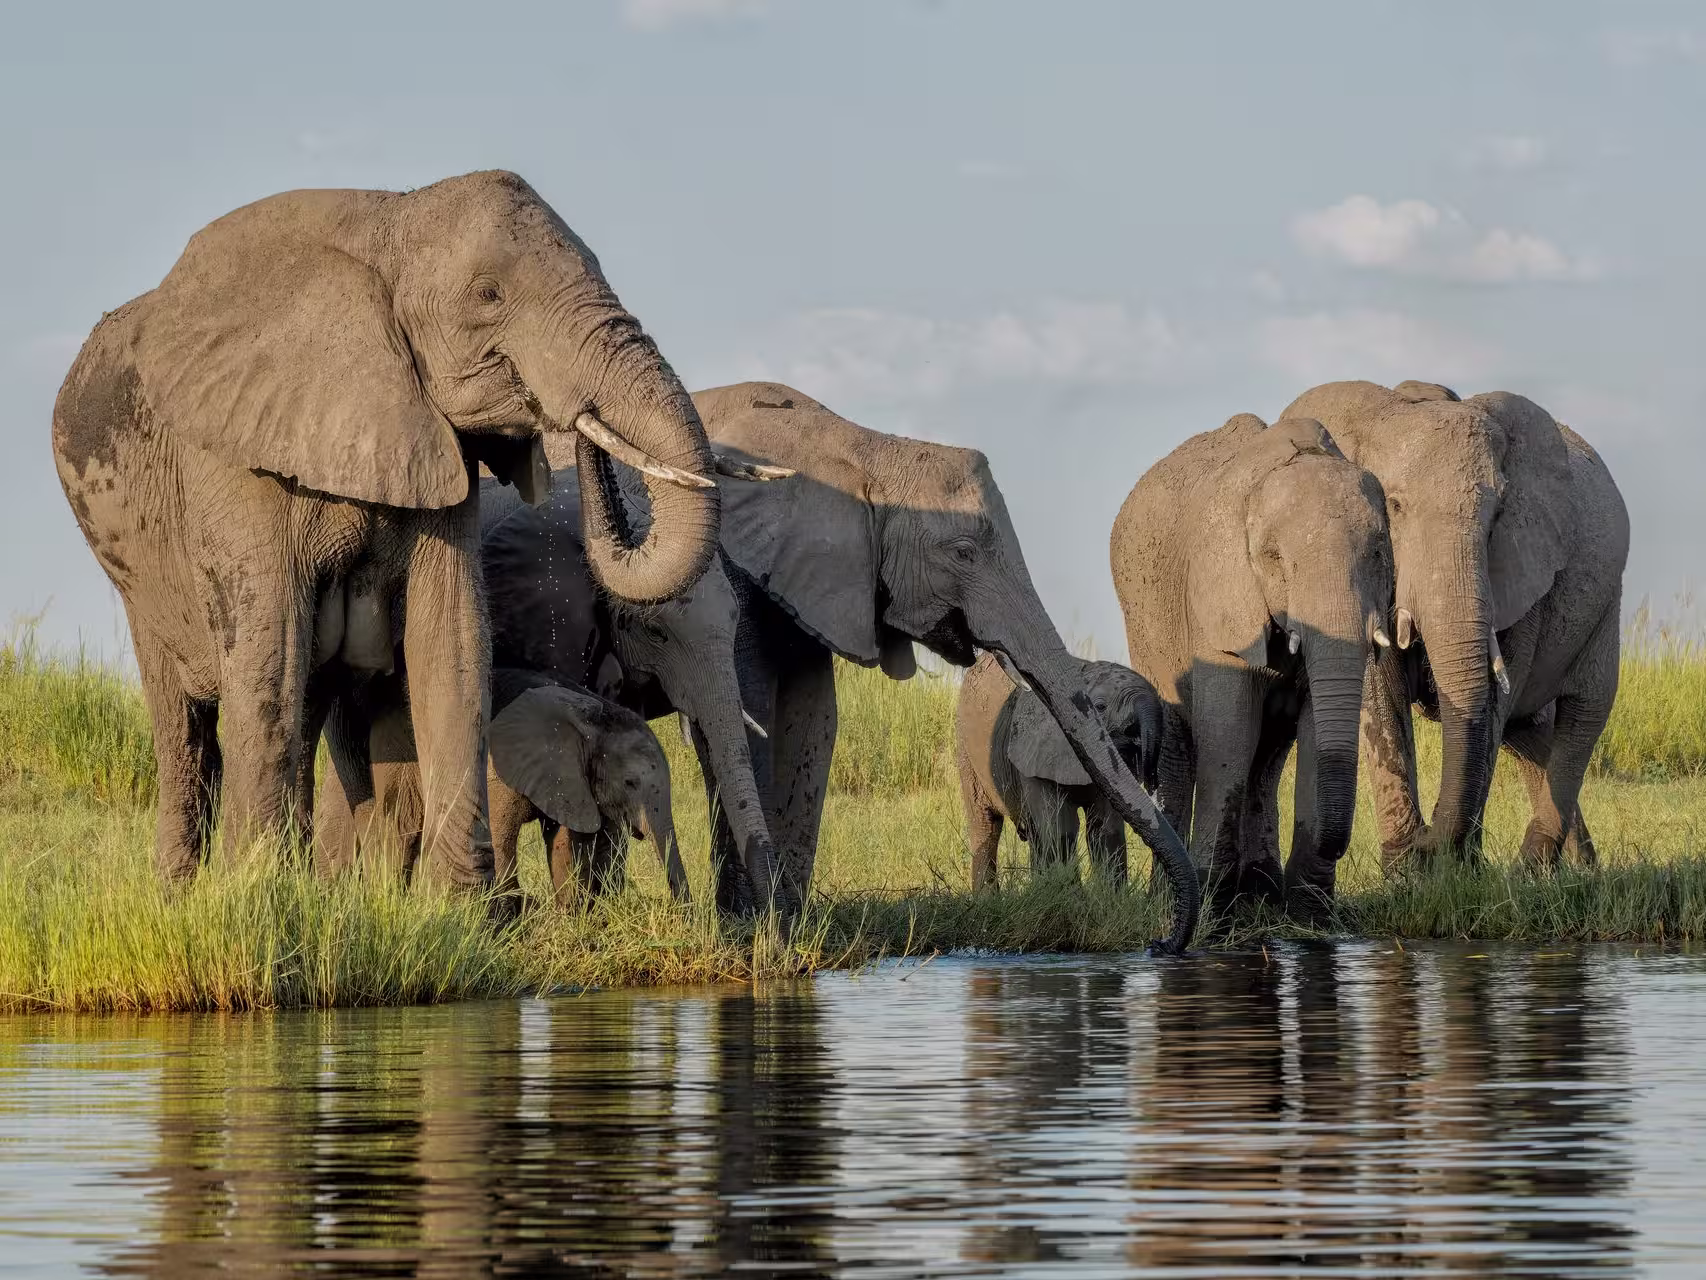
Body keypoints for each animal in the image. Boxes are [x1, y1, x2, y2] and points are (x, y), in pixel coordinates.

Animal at [52, 170, 720, 887]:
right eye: (488, 295)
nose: (571, 414)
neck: (390, 221)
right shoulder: (239, 459)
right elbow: (268, 655)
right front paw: (253, 894)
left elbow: (451, 643)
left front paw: (463, 904)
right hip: (136, 571)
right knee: (186, 724)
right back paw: (186, 892)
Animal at [955, 650, 1163, 890]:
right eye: (1100, 706)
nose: (1152, 783)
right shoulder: (1032, 752)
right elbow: (1060, 829)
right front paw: (1071, 895)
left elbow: (1106, 829)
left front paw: (1111, 896)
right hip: (966, 752)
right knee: (985, 827)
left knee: (1034, 834)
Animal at [1110, 414, 1394, 911]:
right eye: (1275, 559)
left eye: (1379, 553)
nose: (1336, 847)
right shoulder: (1218, 594)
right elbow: (1229, 731)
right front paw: (1212, 908)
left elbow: (1312, 726)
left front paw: (1310, 915)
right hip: (1143, 620)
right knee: (1179, 744)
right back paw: (1175, 897)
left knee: (1269, 753)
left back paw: (1258, 894)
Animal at [1280, 380, 1628, 869]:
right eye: (1395, 506)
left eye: (1497, 517)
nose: (1428, 837)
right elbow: (1380, 694)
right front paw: (1406, 870)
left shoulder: (1523, 572)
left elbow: (1493, 698)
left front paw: (1456, 868)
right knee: (1531, 735)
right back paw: (1572, 868)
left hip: (1606, 609)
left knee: (1582, 716)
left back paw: (1534, 869)